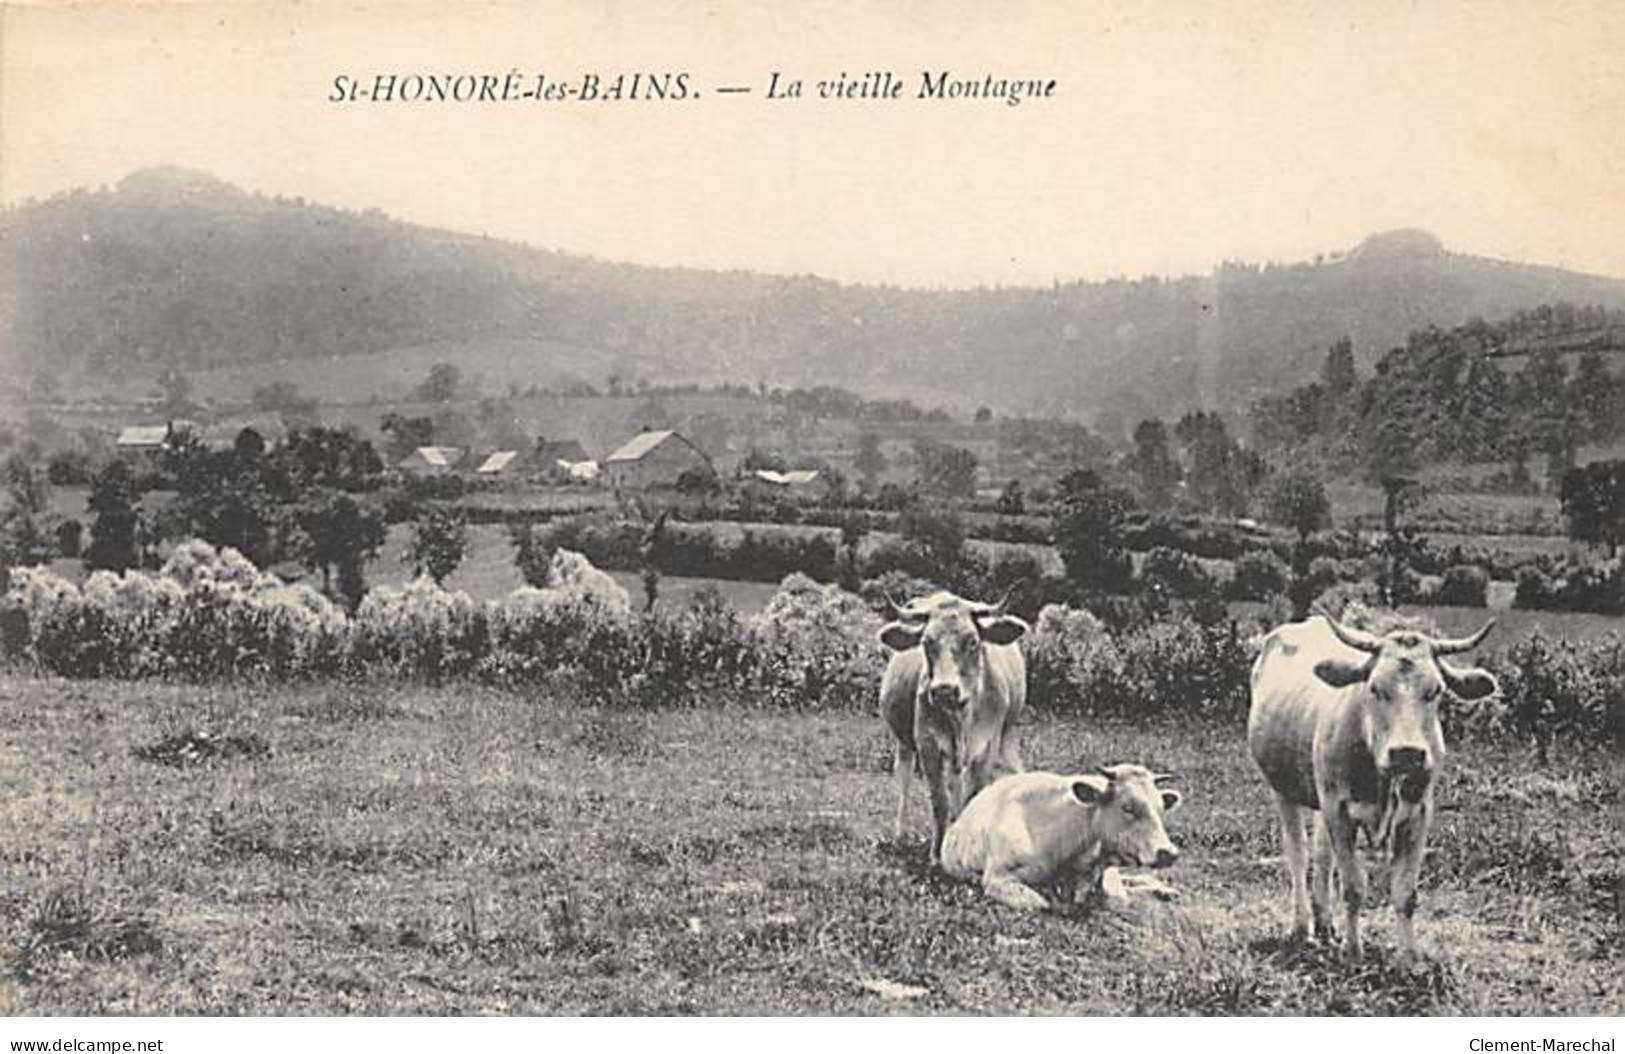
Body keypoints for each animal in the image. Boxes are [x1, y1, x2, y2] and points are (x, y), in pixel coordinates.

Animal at [877, 587, 1027, 857]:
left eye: (972, 641)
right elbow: (940, 801)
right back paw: (901, 834)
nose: (944, 690)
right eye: (926, 642)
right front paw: (937, 854)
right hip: (904, 742)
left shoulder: (987, 746)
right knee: (905, 778)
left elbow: (972, 796)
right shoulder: (928, 744)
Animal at [942, 760, 1183, 909]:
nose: (1168, 853)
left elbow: (1117, 898)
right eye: (1127, 808)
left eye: (1161, 808)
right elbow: (1041, 903)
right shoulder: (996, 879)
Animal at [1241, 607, 1495, 961]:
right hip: (1282, 788)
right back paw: (1303, 927)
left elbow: (1405, 893)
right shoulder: (1339, 809)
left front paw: (1409, 959)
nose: (1407, 753)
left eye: (1436, 690)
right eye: (1375, 688)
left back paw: (1324, 923)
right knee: (1298, 854)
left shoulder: (1418, 812)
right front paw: (1353, 951)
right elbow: (1353, 887)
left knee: (1322, 853)